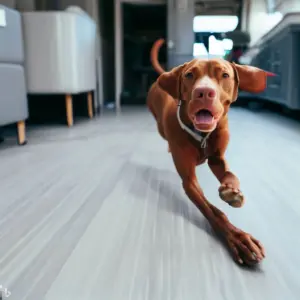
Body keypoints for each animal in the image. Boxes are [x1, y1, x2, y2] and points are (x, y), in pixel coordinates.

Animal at [148, 38, 274, 266]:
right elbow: (214, 212)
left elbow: (231, 175)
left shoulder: (218, 159)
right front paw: (239, 239)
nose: (204, 92)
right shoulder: (189, 181)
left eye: (224, 75)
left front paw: (231, 191)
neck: (203, 135)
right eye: (189, 75)